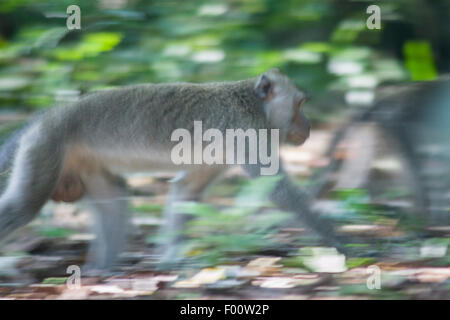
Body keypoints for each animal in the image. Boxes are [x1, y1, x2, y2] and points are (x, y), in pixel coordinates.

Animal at [0, 69, 342, 272]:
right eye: (300, 105)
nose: (308, 125)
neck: (252, 104)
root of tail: (44, 118)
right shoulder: (247, 132)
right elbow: (277, 189)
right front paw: (341, 242)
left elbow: (186, 192)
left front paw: (171, 261)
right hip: (44, 146)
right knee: (22, 208)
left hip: (80, 161)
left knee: (114, 203)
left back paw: (104, 271)